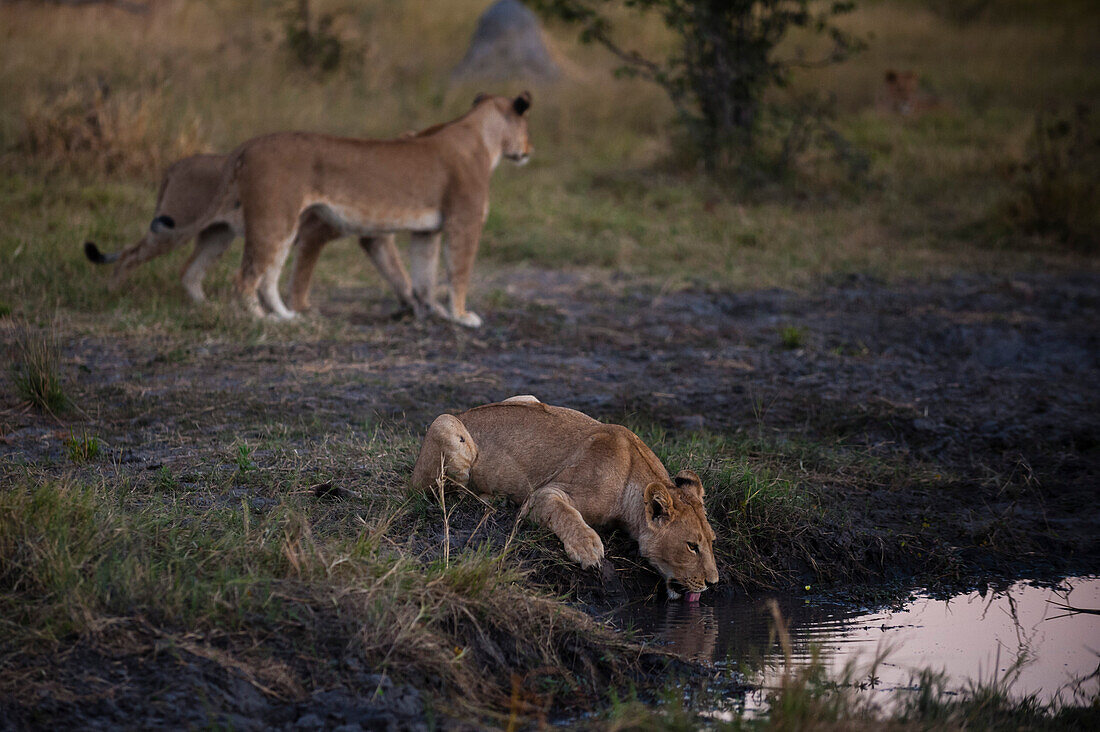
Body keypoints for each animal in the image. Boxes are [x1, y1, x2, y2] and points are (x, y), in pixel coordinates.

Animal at [84, 93, 528, 325]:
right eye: (527, 127)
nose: (529, 149)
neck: (480, 134)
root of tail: (249, 145)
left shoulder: (424, 231)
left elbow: (421, 275)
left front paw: (431, 311)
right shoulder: (464, 222)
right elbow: (458, 272)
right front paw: (462, 316)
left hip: (249, 227)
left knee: (234, 274)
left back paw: (280, 316)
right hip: (257, 222)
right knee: (234, 277)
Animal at [413, 394, 721, 598]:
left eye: (711, 542)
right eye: (691, 546)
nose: (714, 583)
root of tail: (466, 411)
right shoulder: (541, 494)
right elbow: (565, 513)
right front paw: (588, 548)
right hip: (445, 425)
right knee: (445, 491)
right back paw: (491, 499)